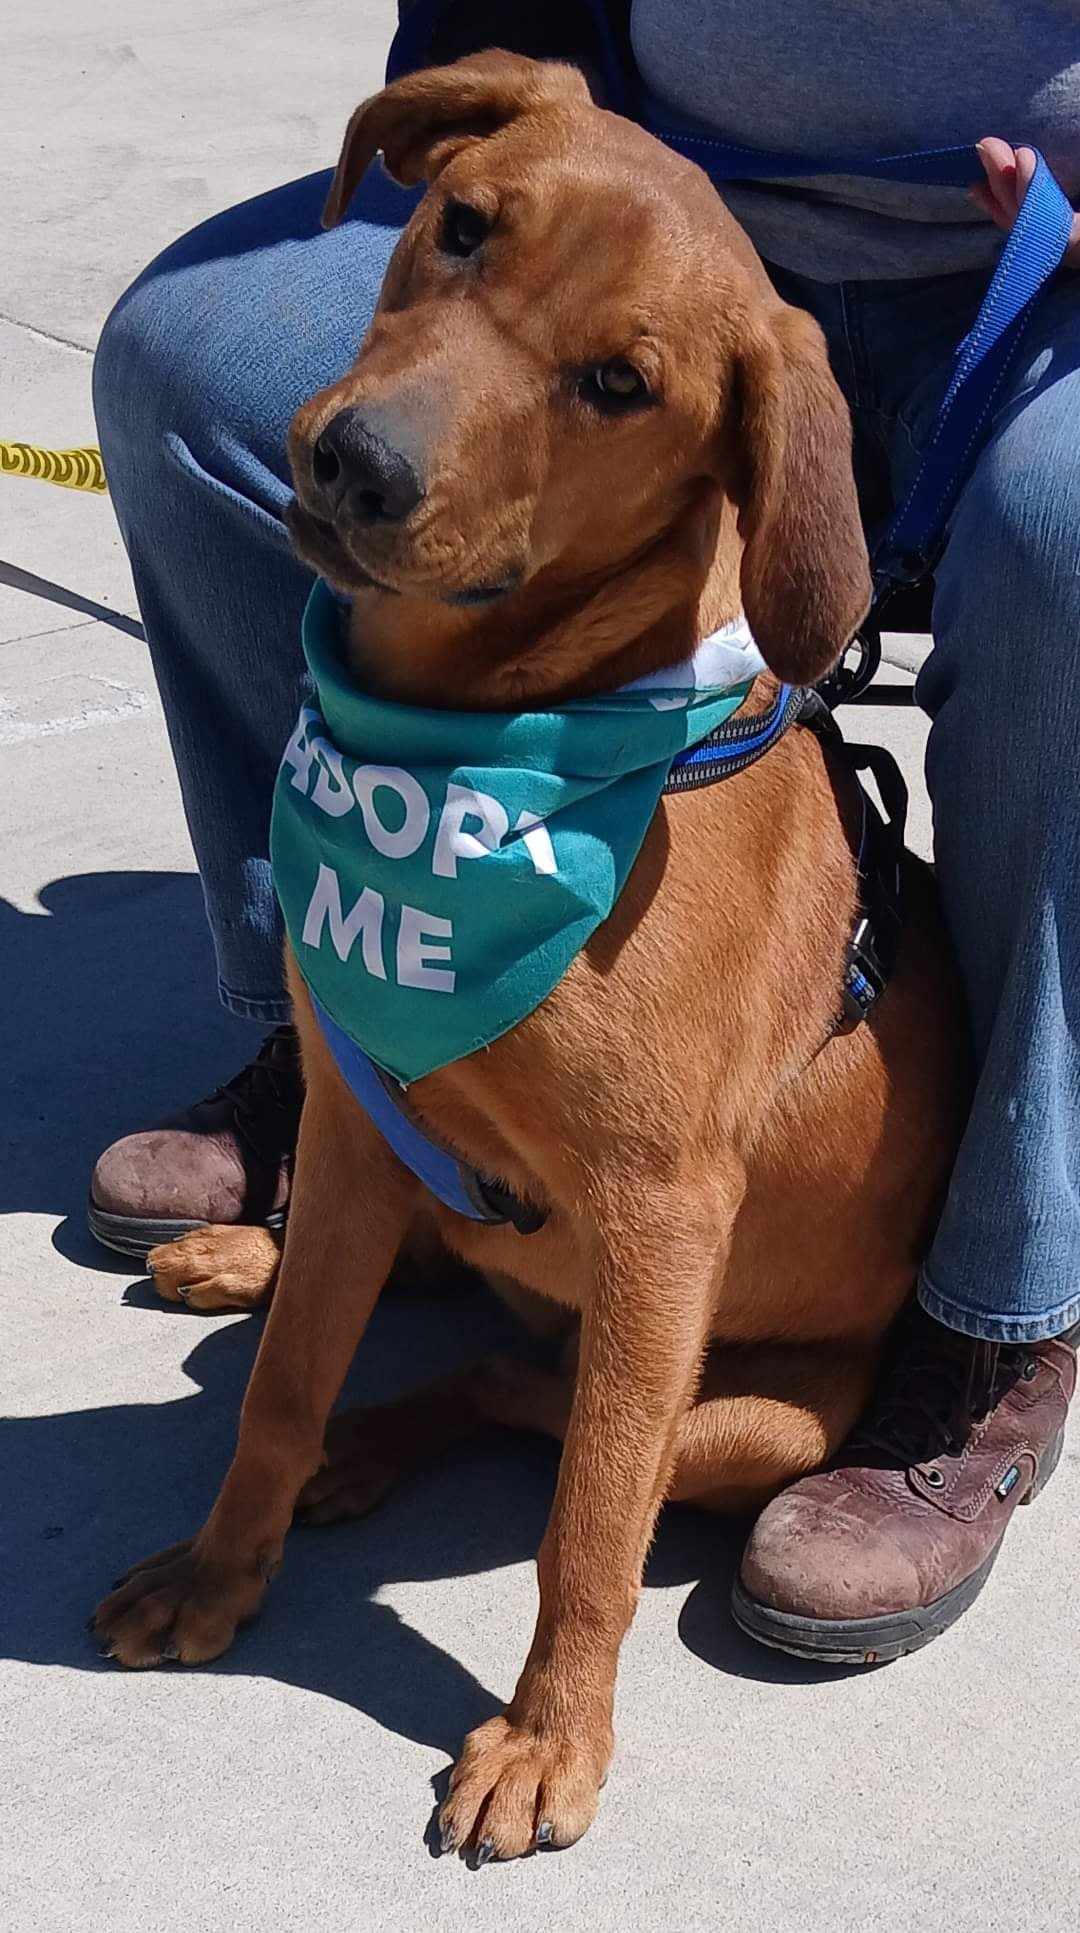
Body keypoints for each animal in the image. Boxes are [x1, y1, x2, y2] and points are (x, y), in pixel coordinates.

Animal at [95, 56, 962, 1855]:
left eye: (622, 383)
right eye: (465, 224)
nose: (357, 465)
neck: (482, 742)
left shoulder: (659, 1218)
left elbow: (590, 1525)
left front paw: (551, 1738)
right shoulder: (359, 1107)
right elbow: (279, 1386)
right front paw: (222, 1567)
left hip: (755, 1411)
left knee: (533, 1403)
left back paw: (379, 1438)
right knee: (423, 1316)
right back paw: (245, 1268)